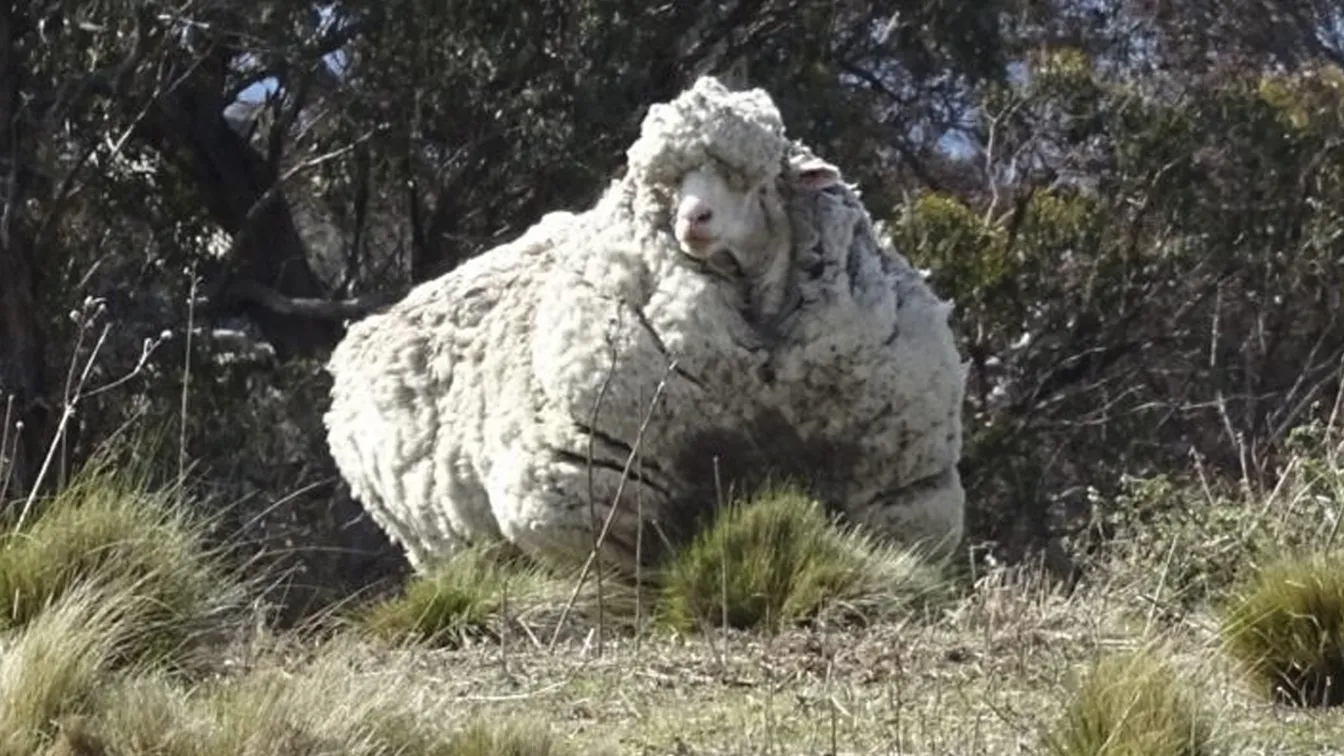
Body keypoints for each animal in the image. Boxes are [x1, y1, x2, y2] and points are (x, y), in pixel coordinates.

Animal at [323, 76, 967, 576]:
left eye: (754, 180)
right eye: (667, 185)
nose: (693, 220)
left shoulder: (898, 492)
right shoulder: (593, 496)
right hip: (439, 544)